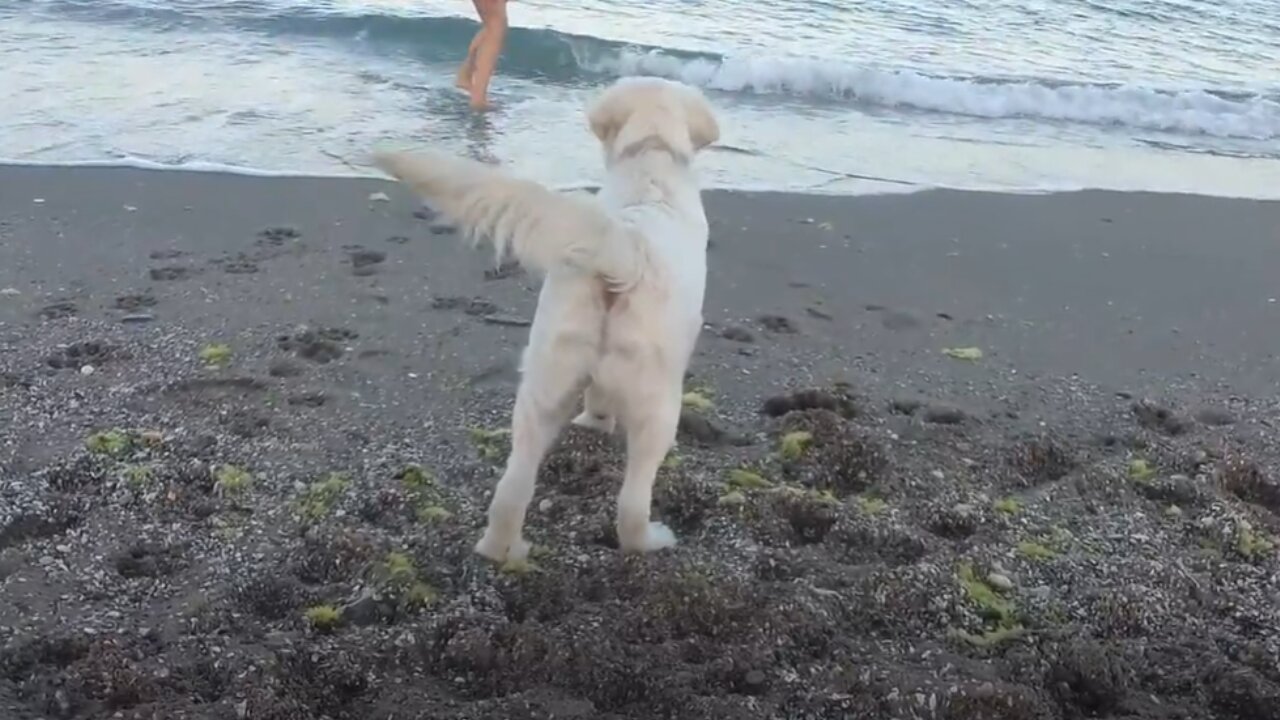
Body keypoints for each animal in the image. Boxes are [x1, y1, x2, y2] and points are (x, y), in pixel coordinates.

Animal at [373, 77, 721, 561]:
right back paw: (651, 540)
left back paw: (501, 549)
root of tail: (625, 247)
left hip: (544, 377)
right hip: (657, 402)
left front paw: (593, 422)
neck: (650, 163)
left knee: (512, 486)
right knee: (631, 505)